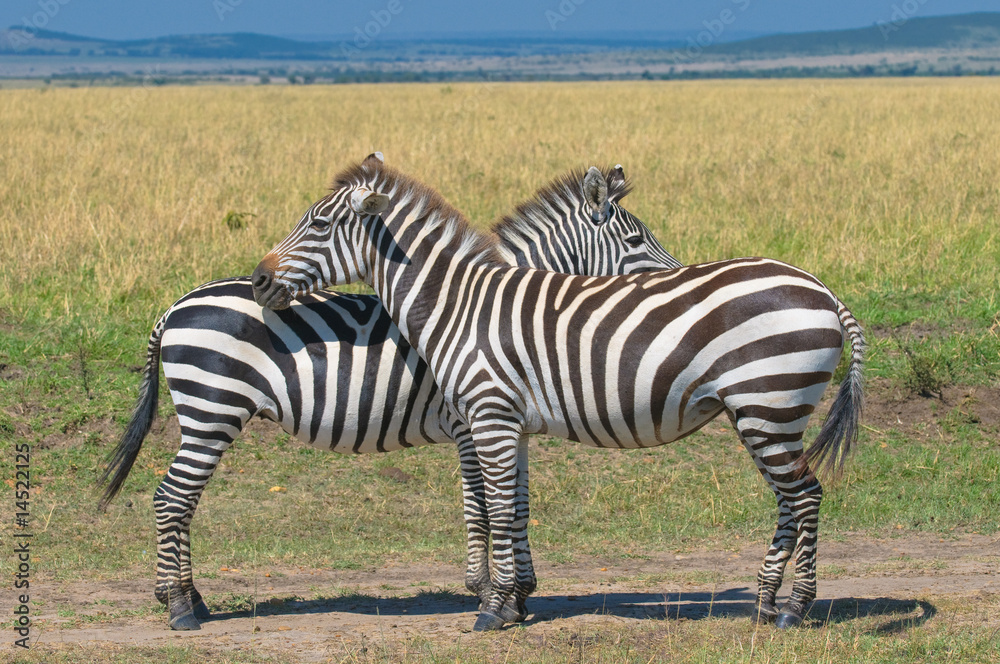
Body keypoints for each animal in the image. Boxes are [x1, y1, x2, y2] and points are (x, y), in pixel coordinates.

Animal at [98, 163, 682, 631]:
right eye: (636, 241)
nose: (678, 281)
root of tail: (175, 306)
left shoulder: (509, 421)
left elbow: (515, 503)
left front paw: (521, 592)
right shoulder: (470, 424)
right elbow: (479, 506)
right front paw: (489, 592)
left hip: (208, 416)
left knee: (182, 502)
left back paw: (189, 598)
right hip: (211, 412)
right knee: (171, 498)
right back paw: (179, 606)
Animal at [251, 154, 865, 632]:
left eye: (319, 225)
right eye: (637, 238)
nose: (259, 280)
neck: (457, 303)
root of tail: (824, 291)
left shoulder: (487, 415)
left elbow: (495, 508)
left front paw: (494, 608)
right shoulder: (508, 422)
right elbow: (514, 508)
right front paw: (515, 599)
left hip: (770, 405)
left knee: (806, 496)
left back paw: (794, 609)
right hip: (761, 414)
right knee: (790, 499)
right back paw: (763, 603)